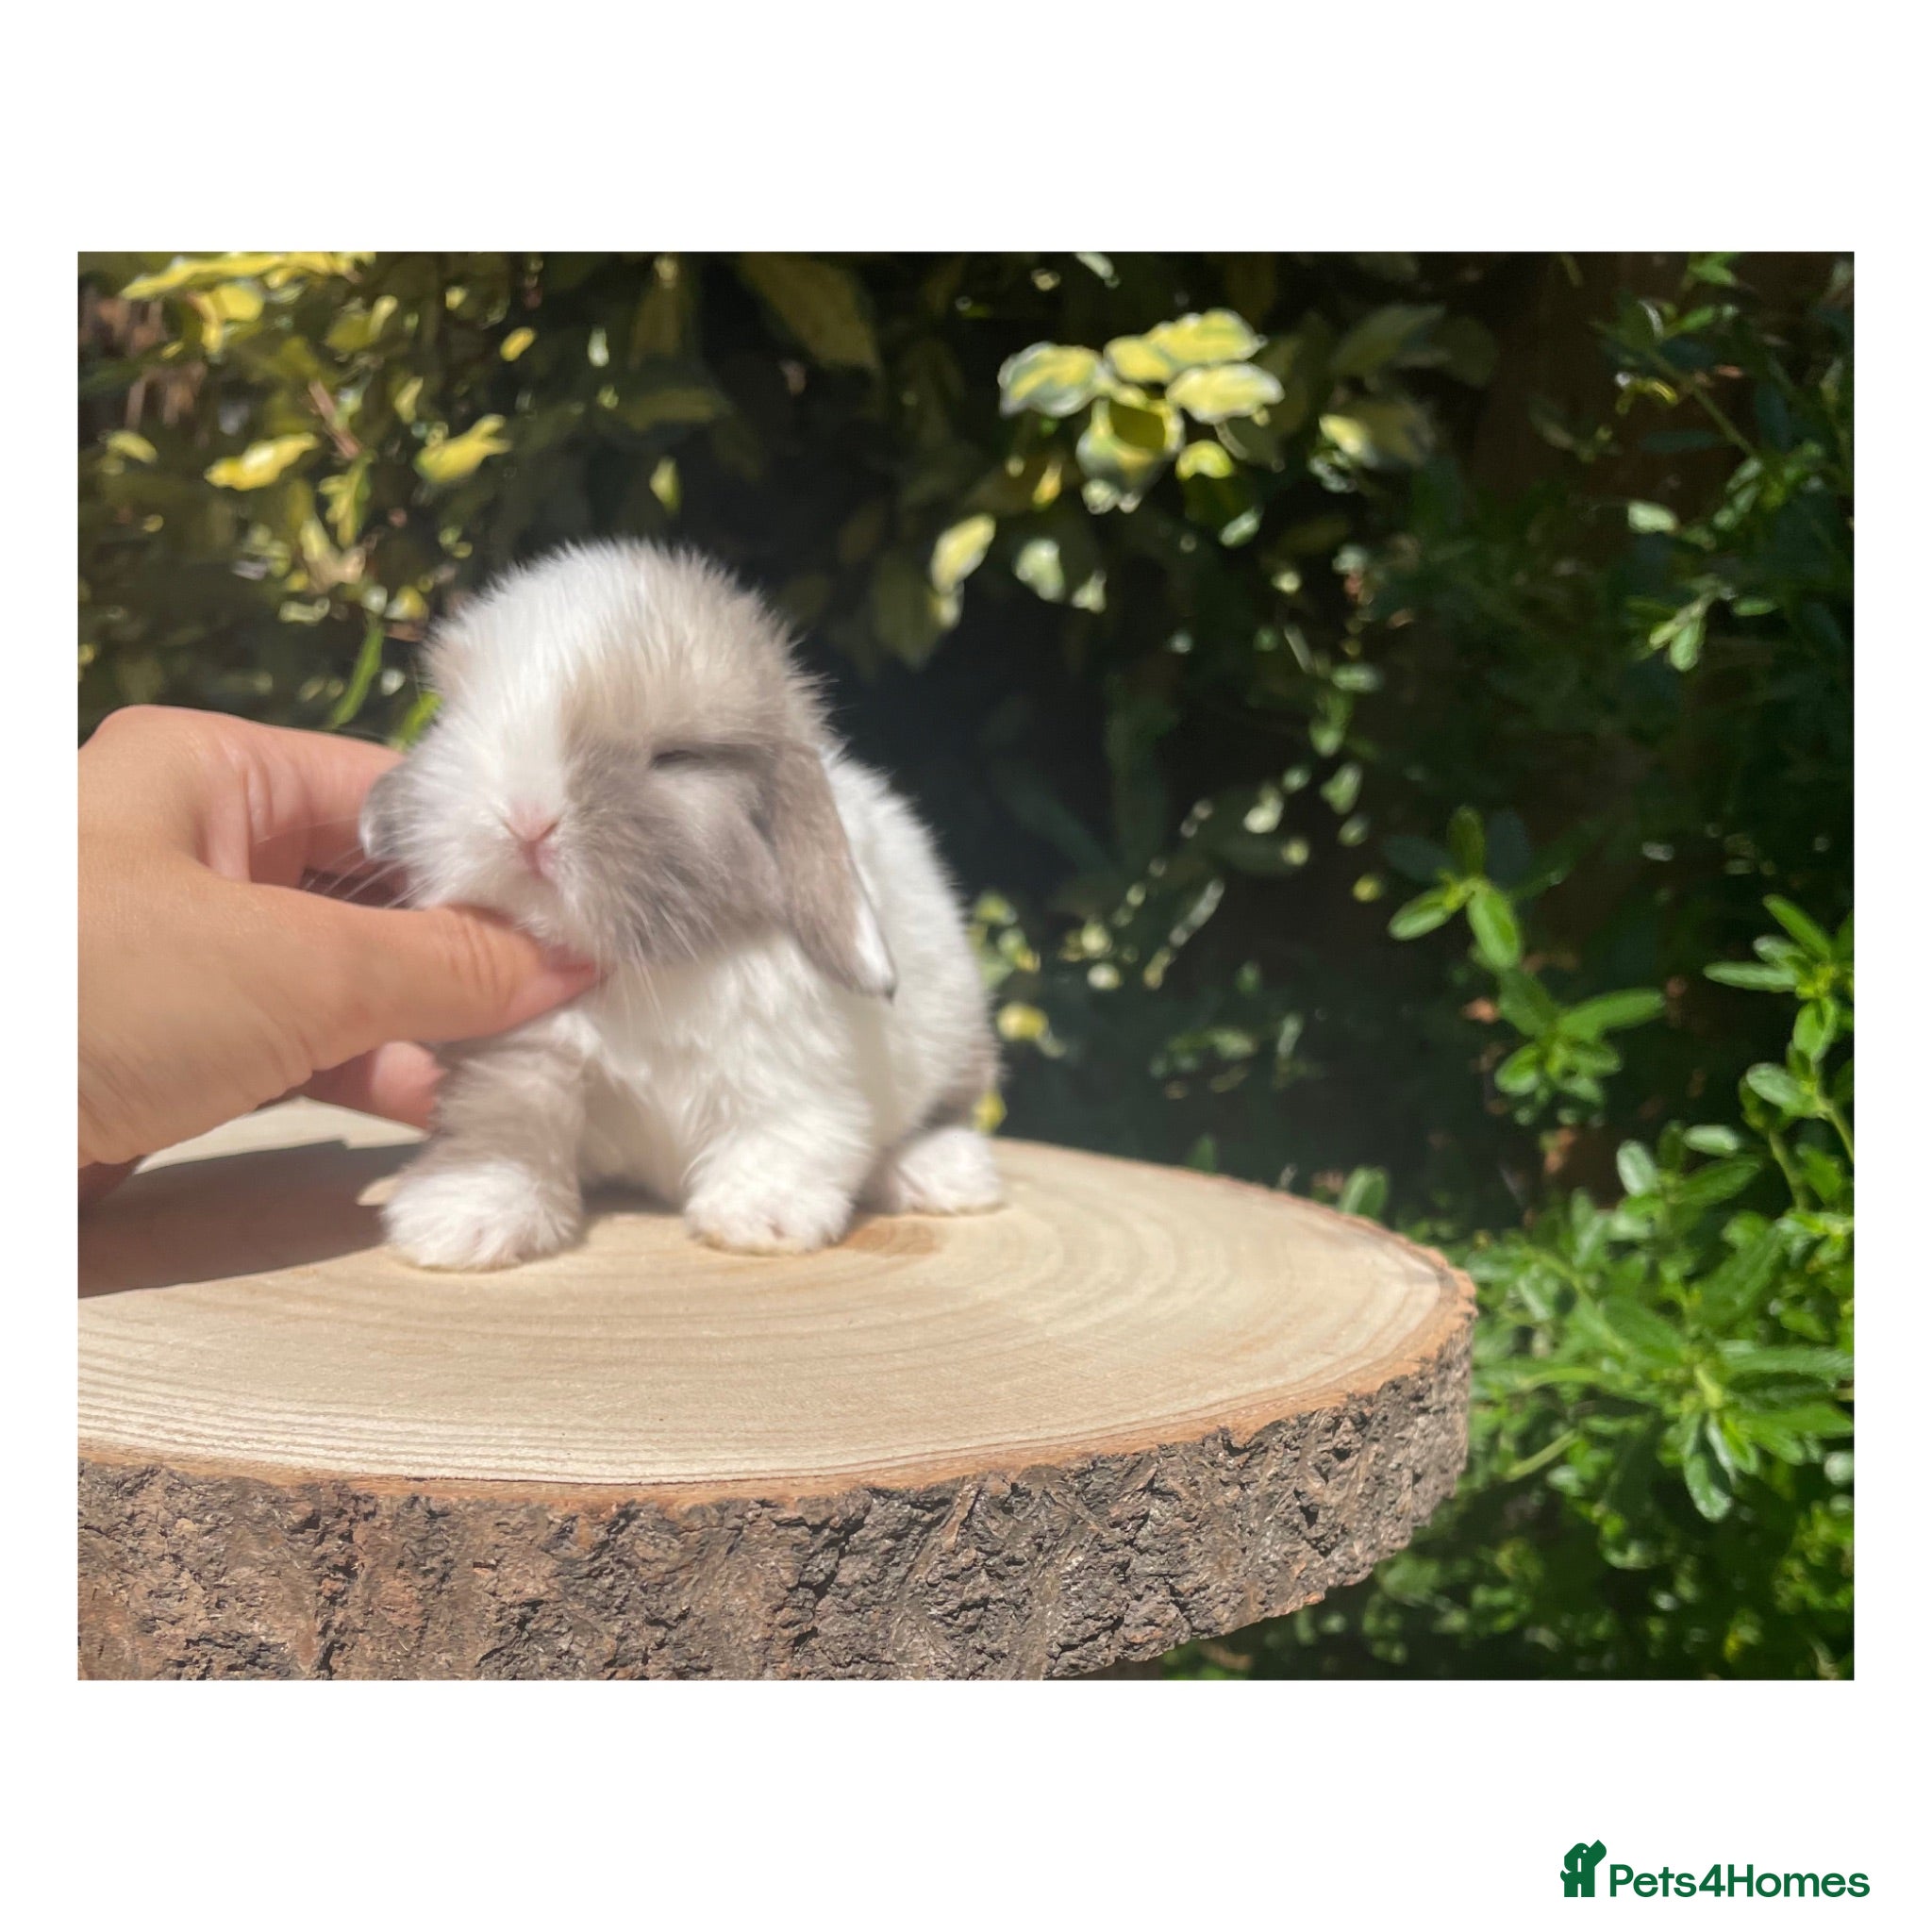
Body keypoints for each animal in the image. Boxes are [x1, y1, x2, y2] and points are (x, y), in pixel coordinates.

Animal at [359, 538, 1002, 1271]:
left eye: (678, 757)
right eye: (457, 719)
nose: (526, 820)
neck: (647, 971)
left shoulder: (789, 1074)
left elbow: (787, 1134)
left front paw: (762, 1219)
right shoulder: (522, 1059)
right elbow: (508, 1128)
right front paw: (461, 1222)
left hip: (959, 1041)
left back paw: (945, 1172)